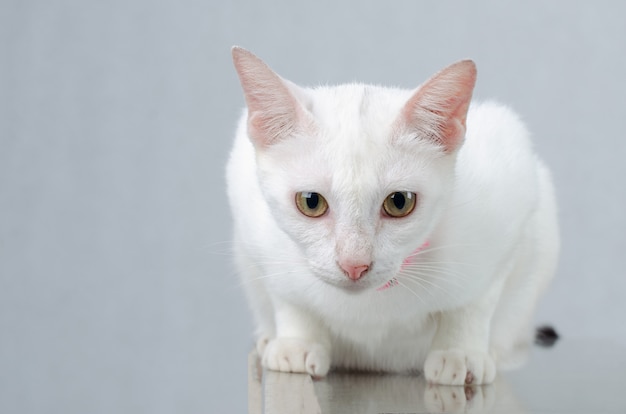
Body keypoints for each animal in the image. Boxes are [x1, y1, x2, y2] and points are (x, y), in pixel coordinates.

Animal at [227, 46, 560, 384]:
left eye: (399, 202)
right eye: (311, 202)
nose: (354, 264)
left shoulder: (511, 202)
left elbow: (473, 304)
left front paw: (459, 351)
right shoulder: (254, 230)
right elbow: (288, 298)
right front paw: (298, 342)